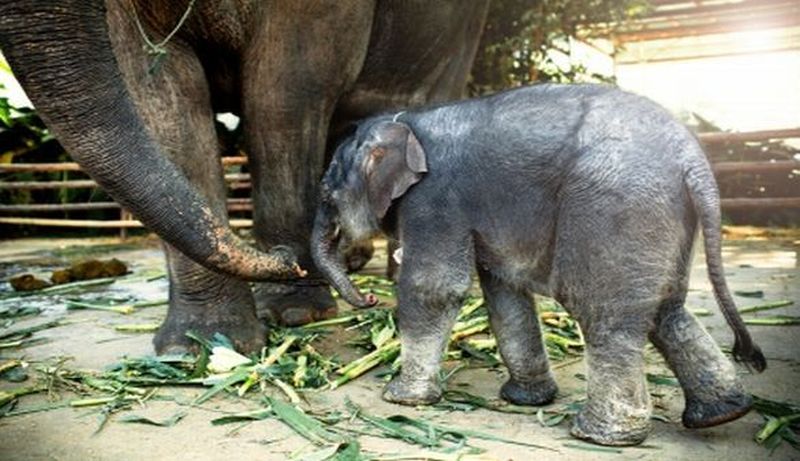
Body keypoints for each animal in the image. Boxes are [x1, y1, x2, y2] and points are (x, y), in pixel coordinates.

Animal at [310, 83, 767, 446]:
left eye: (328, 192)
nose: (368, 298)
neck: (407, 120)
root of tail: (694, 160)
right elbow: (504, 292)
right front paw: (525, 400)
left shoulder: (435, 199)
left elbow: (435, 288)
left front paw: (400, 398)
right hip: (662, 217)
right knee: (665, 310)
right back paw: (724, 413)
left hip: (615, 206)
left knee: (602, 313)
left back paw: (598, 435)